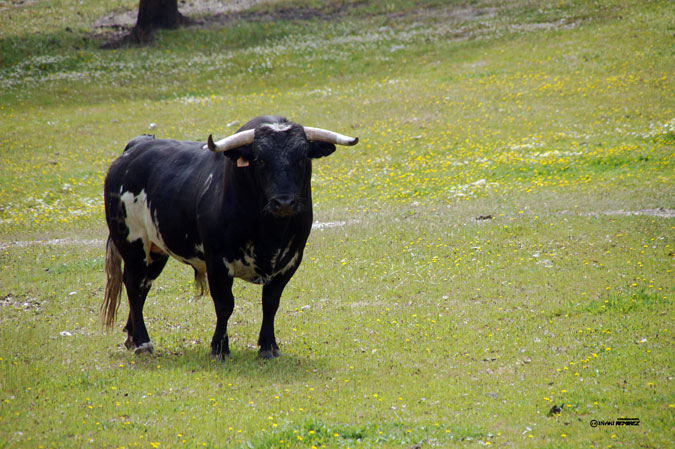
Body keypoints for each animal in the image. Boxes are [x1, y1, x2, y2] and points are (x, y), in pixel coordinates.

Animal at [102, 115, 360, 356]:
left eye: (302, 157)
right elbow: (225, 304)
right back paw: (142, 342)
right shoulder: (217, 260)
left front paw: (269, 346)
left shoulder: (291, 260)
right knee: (133, 284)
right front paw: (219, 347)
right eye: (260, 159)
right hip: (133, 243)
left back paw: (132, 336)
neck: (270, 232)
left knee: (143, 286)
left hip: (156, 250)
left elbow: (271, 303)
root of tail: (134, 149)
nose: (284, 202)